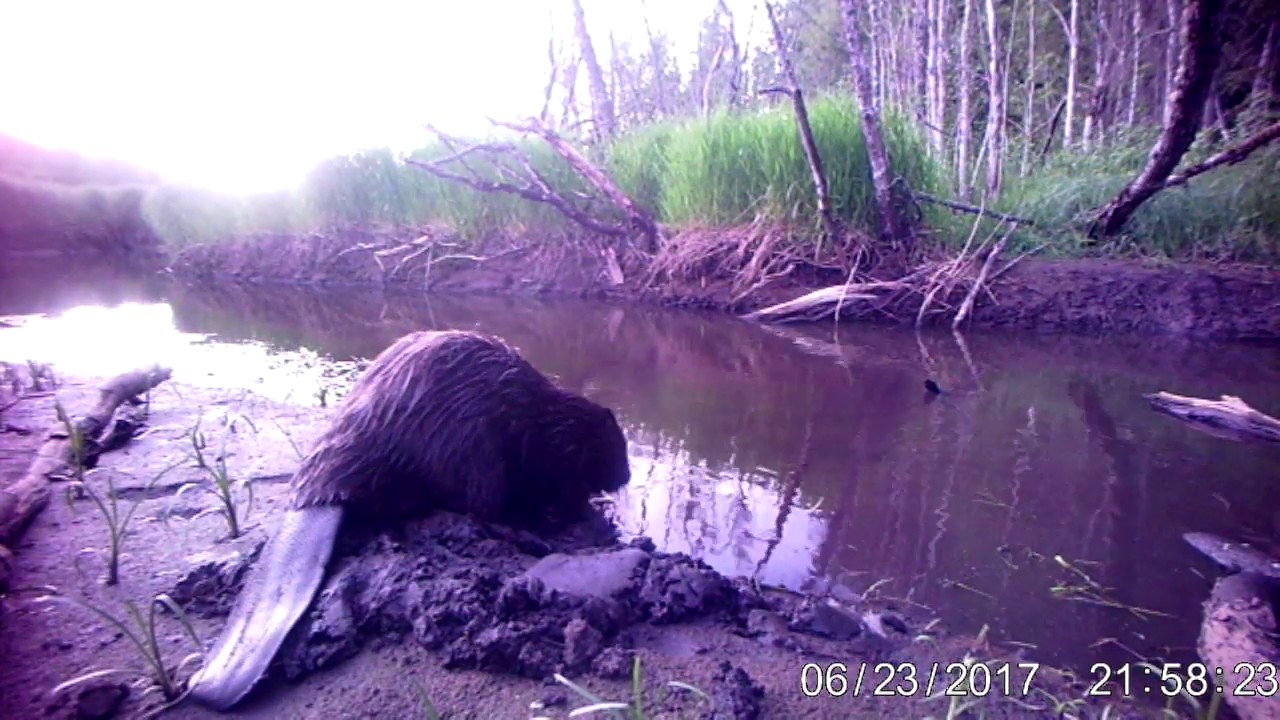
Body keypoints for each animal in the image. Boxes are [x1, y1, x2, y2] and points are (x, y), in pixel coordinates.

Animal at [188, 330, 629, 707]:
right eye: (618, 448)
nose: (625, 476)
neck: (549, 416)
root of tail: (316, 497)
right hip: (469, 453)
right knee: (482, 508)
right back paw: (537, 532)